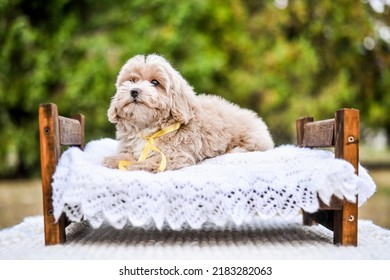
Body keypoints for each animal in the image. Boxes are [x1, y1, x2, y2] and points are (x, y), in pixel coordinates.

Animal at [104, 53, 274, 172]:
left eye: (155, 82)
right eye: (132, 80)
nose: (134, 91)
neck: (147, 128)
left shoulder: (175, 155)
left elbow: (149, 161)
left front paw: (131, 165)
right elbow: (128, 154)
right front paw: (115, 159)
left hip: (254, 138)